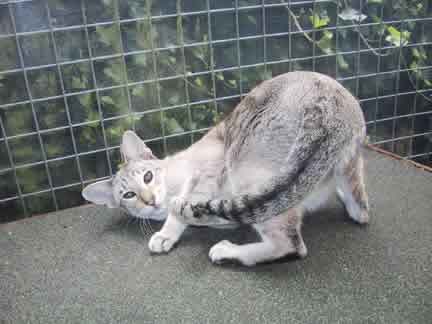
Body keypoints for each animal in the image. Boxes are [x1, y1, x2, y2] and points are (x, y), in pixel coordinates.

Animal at [82, 72, 370, 268]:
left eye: (148, 176)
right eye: (129, 195)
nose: (149, 199)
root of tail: (330, 104)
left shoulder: (210, 168)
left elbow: (182, 209)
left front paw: (165, 235)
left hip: (242, 168)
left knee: (291, 246)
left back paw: (225, 250)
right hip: (342, 170)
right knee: (361, 209)